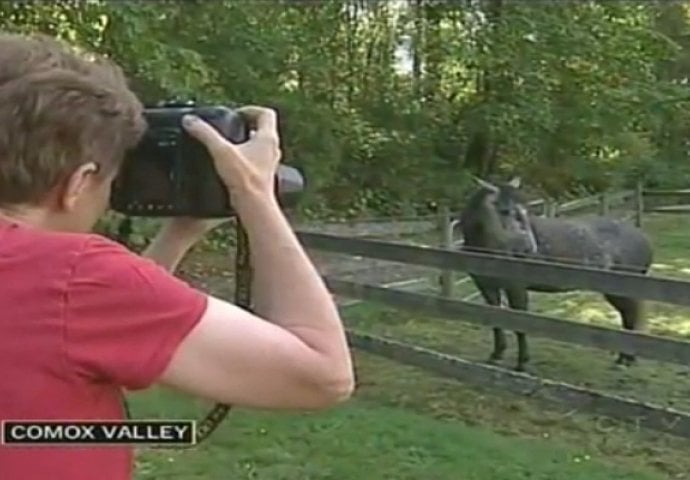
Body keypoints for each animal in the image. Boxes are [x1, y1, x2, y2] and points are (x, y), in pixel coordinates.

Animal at [456, 176, 652, 372]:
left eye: (527, 211)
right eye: (505, 211)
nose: (529, 248)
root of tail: (642, 237)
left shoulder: (516, 287)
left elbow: (519, 323)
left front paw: (522, 363)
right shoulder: (486, 287)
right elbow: (495, 320)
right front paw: (496, 356)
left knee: (630, 316)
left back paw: (626, 360)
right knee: (628, 315)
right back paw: (624, 359)